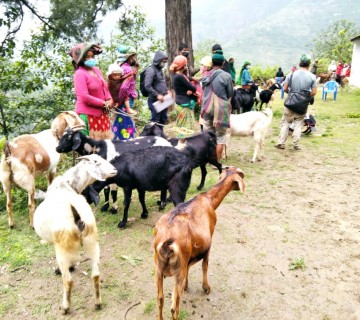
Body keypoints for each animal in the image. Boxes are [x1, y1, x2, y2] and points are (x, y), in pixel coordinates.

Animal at [33, 154, 116, 314]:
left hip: (63, 246)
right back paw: (98, 302)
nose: (115, 170)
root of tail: (77, 215)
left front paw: (61, 269)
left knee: (68, 280)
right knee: (96, 275)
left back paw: (65, 306)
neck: (68, 185)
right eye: (96, 162)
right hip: (92, 242)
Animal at [153, 166, 246, 318]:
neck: (209, 199)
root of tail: (166, 244)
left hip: (159, 270)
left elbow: (190, 266)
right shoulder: (209, 240)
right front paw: (206, 288)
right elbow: (205, 265)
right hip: (178, 270)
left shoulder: (190, 255)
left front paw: (187, 285)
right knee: (174, 308)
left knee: (160, 300)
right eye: (241, 174)